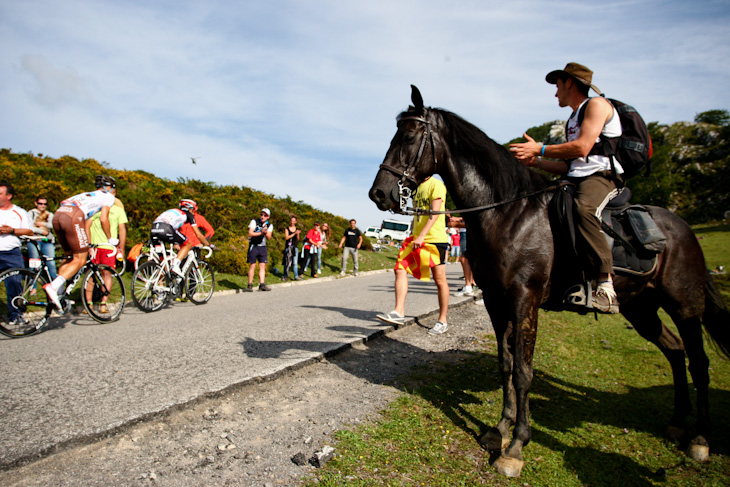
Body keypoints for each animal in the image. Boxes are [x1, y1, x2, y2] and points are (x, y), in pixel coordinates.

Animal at [366, 86, 728, 478]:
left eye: (408, 137)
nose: (379, 193)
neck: (506, 212)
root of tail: (683, 228)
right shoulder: (496, 301)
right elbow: (506, 364)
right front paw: (500, 429)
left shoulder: (525, 300)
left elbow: (524, 372)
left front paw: (515, 447)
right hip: (641, 308)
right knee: (675, 351)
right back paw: (678, 423)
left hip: (685, 305)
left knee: (698, 362)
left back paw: (701, 439)